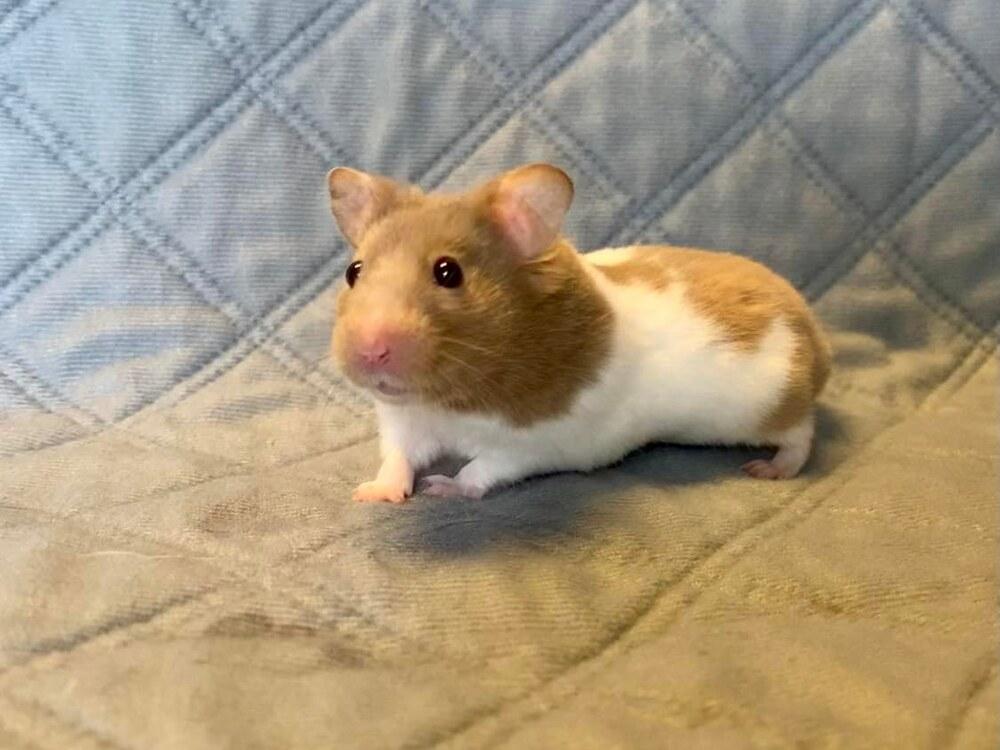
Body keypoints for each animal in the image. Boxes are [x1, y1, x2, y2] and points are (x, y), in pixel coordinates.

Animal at [326, 163, 832, 503]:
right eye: (354, 271)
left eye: (448, 272)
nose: (369, 352)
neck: (446, 400)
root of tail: (813, 331)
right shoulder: (404, 422)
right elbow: (397, 458)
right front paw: (370, 494)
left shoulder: (535, 443)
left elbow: (481, 470)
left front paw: (440, 488)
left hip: (771, 406)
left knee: (803, 434)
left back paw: (769, 469)